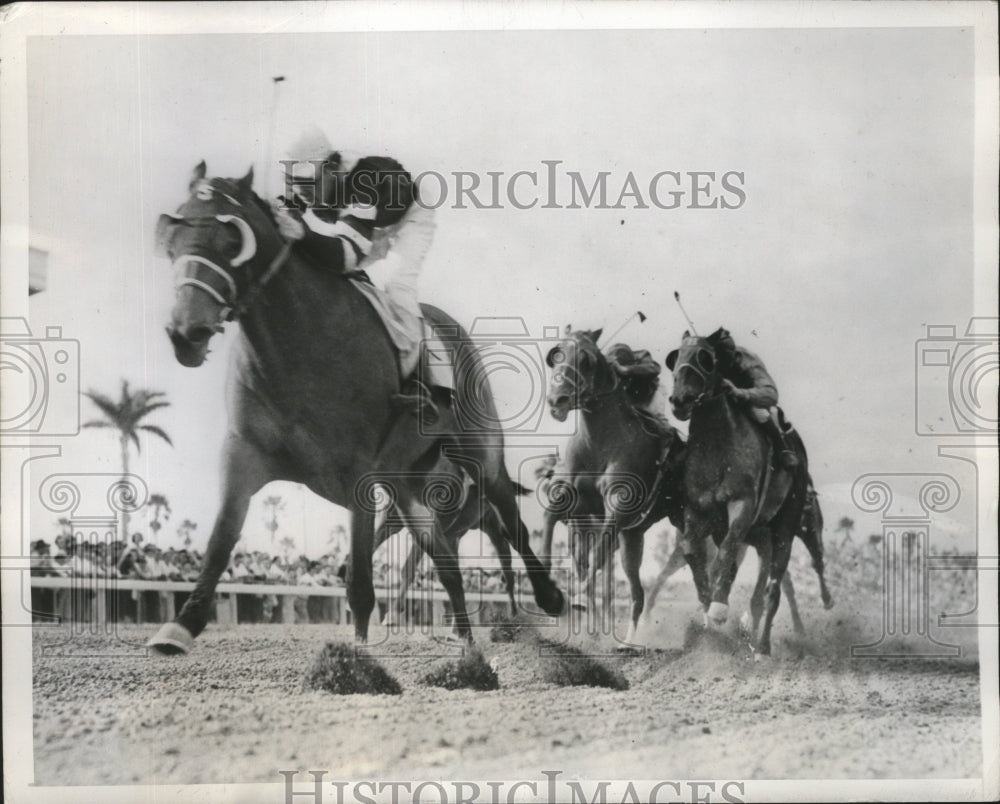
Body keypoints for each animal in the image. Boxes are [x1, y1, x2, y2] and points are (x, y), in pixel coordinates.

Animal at [148, 165, 564, 652]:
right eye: (172, 238)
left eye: (231, 241)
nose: (186, 333)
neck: (295, 343)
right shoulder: (243, 452)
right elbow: (220, 540)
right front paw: (182, 624)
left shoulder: (359, 473)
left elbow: (360, 582)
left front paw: (360, 652)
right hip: (409, 488)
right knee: (444, 560)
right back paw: (464, 636)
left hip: (479, 455)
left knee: (510, 522)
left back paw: (548, 596)